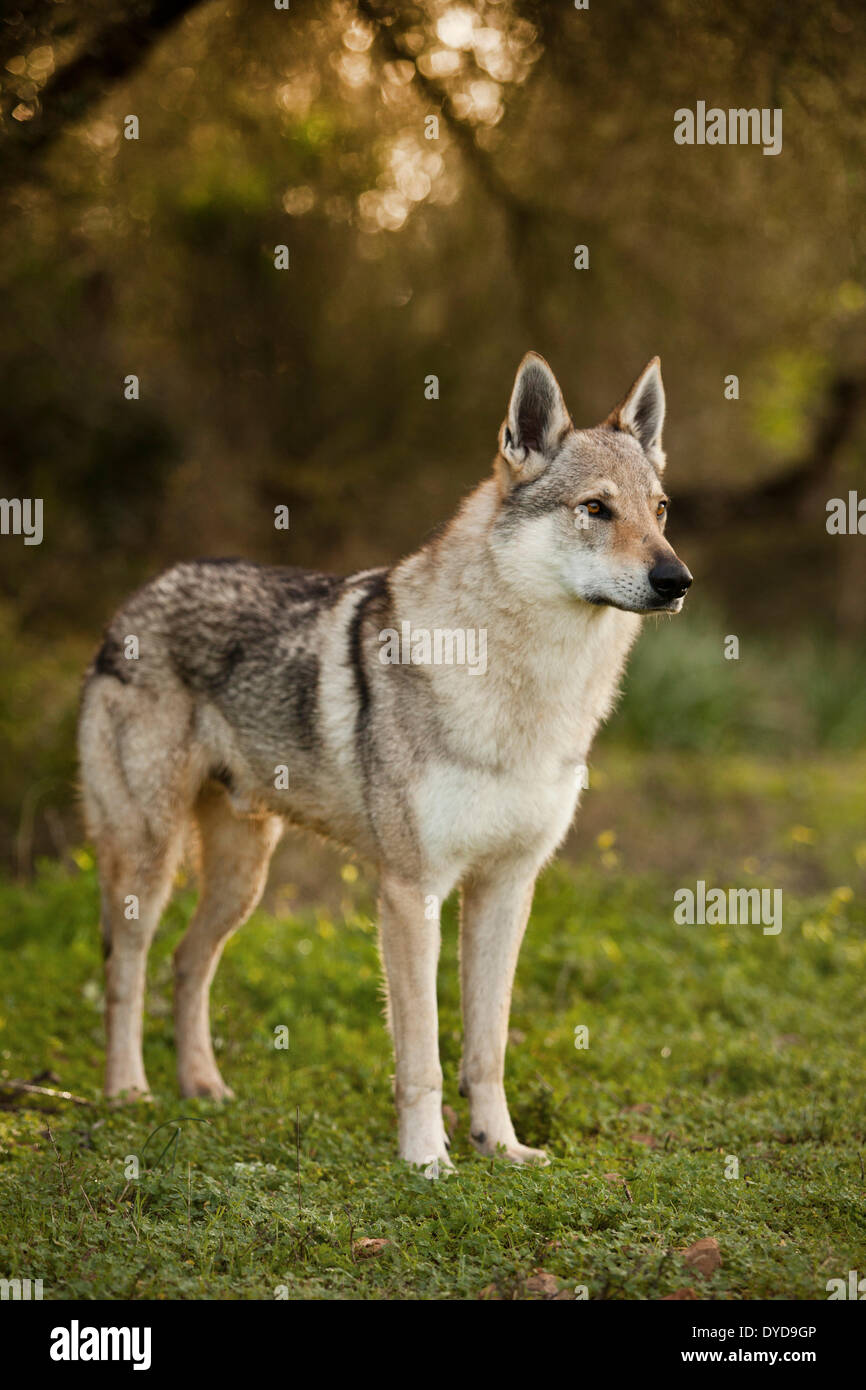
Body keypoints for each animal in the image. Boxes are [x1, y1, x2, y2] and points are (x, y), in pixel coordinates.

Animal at [79, 353, 692, 1167]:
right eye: (595, 509)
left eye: (659, 511)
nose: (677, 581)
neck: (530, 691)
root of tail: (137, 597)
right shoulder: (410, 891)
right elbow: (422, 1056)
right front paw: (428, 1160)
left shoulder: (507, 888)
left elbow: (488, 1046)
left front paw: (502, 1149)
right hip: (147, 863)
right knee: (126, 968)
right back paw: (128, 1093)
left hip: (243, 879)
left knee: (187, 962)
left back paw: (202, 1087)